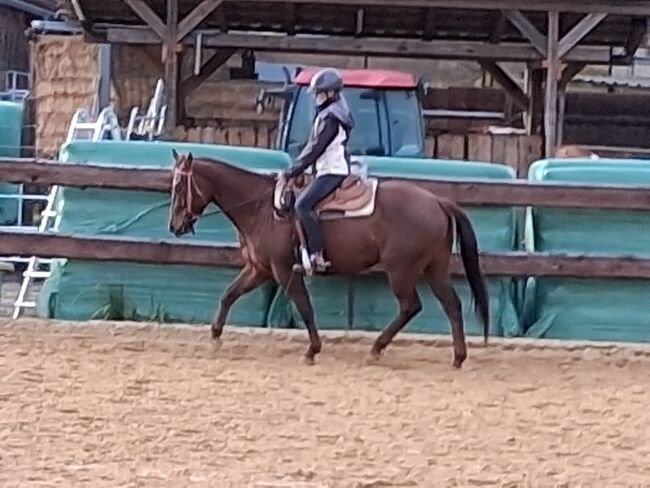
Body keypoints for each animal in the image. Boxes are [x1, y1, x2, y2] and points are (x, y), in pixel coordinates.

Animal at [167, 150, 489, 368]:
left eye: (180, 187)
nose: (174, 226)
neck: (262, 209)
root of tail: (437, 201)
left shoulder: (284, 270)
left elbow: (305, 307)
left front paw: (312, 350)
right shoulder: (259, 269)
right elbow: (228, 295)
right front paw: (215, 338)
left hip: (402, 271)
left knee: (411, 306)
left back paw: (377, 348)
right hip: (434, 268)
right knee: (451, 305)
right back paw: (457, 357)